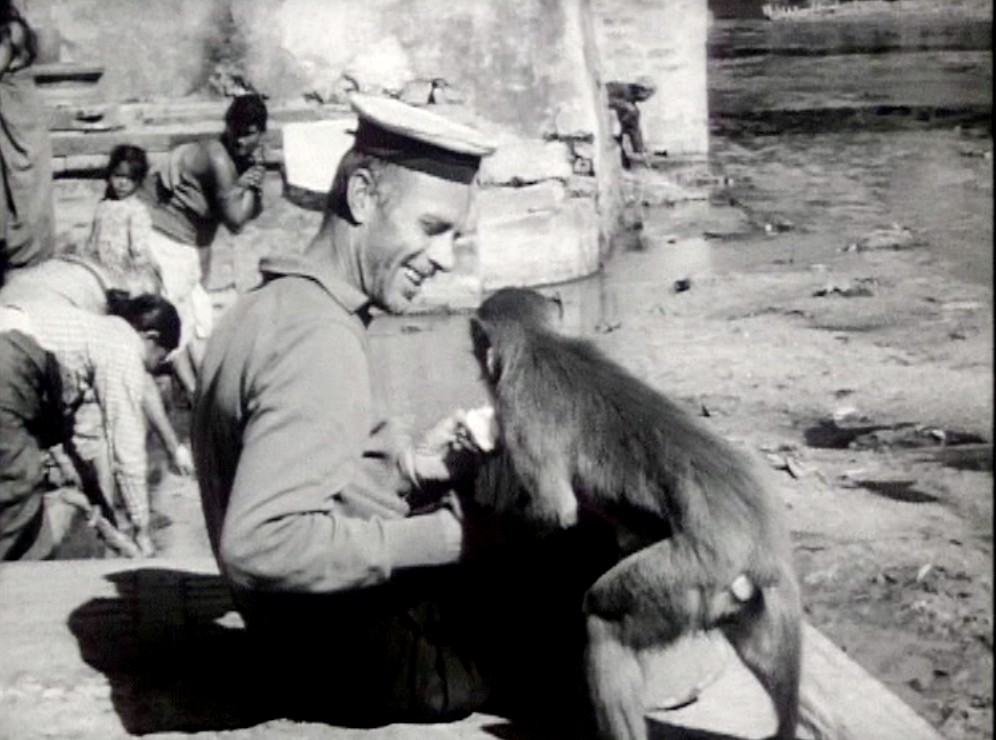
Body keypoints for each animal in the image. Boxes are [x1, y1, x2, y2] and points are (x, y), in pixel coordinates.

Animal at [469, 287, 834, 740]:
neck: (542, 343)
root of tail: (756, 530)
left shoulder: (518, 404)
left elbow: (556, 511)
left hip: (691, 570)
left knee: (602, 619)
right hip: (727, 589)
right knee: (762, 651)